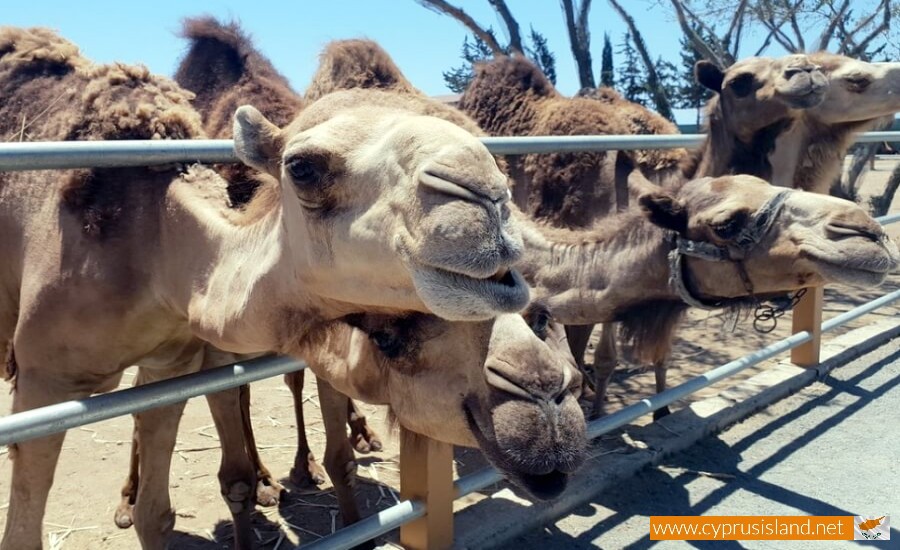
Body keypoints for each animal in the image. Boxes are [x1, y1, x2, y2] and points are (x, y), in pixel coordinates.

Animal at [0, 28, 540, 550]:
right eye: (302, 167)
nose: (486, 199)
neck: (148, 241)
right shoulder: (44, 384)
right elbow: (23, 535)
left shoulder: (170, 368)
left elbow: (156, 517)